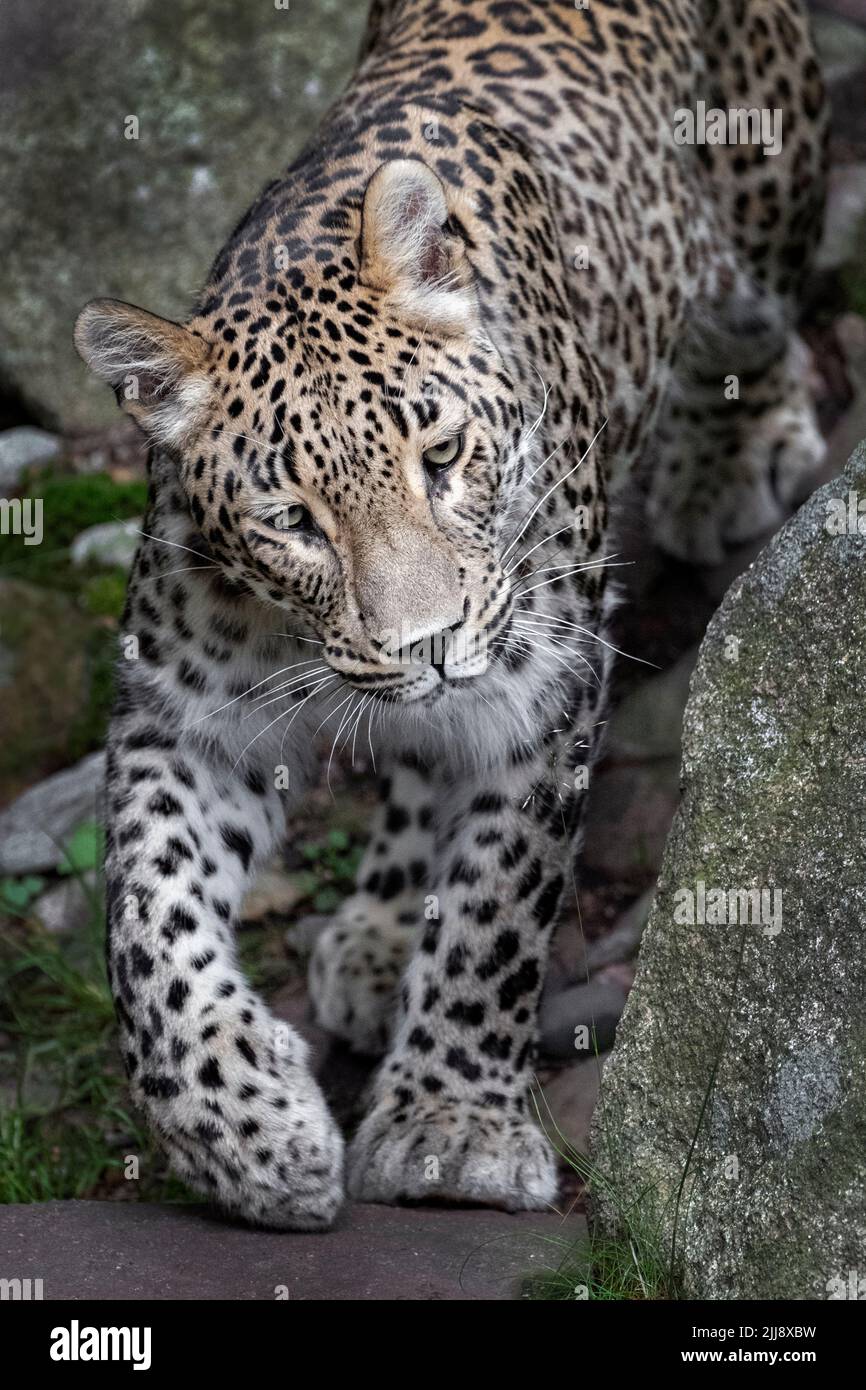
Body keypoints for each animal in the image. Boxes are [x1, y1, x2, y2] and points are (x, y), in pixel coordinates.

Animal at [72, 0, 828, 1228]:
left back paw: (729, 459)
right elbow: (147, 922)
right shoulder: (182, 718)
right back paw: (379, 931)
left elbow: (494, 910)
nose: (421, 642)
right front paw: (244, 1133)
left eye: (442, 454)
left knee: (759, 328)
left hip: (765, 190)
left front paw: (450, 1128)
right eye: (292, 518)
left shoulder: (541, 687)